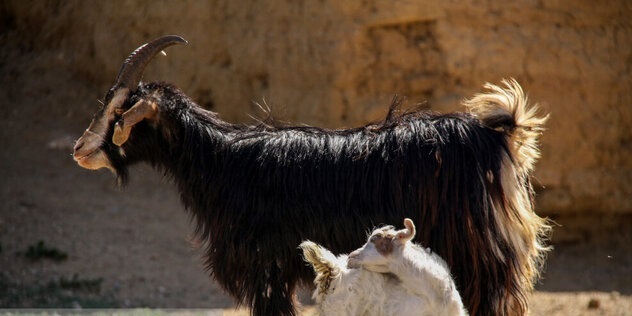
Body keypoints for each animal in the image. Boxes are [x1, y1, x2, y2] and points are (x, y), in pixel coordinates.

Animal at [73, 36, 548, 316]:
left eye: (119, 113)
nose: (79, 149)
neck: (223, 162)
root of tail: (499, 134)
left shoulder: (265, 264)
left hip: (479, 255)